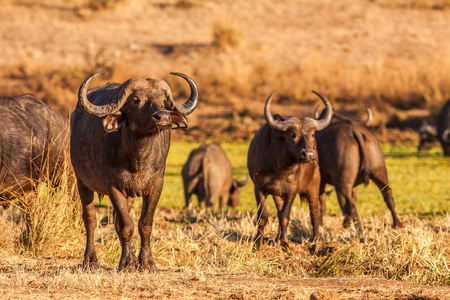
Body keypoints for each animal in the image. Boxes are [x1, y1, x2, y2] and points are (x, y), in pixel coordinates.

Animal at [71, 71, 199, 272]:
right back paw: (90, 260)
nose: (163, 117)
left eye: (163, 100)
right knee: (89, 218)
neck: (138, 159)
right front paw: (127, 263)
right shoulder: (113, 186)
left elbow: (144, 224)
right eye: (136, 100)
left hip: (129, 195)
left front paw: (146, 262)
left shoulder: (156, 185)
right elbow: (126, 226)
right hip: (82, 181)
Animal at [248, 91, 332, 248]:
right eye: (293, 134)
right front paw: (258, 242)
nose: (309, 154)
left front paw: (285, 243)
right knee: (279, 210)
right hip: (277, 194)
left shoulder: (292, 189)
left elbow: (285, 215)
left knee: (315, 212)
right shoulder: (259, 187)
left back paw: (316, 242)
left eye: (312, 134)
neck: (280, 167)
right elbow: (263, 216)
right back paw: (276, 239)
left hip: (314, 186)